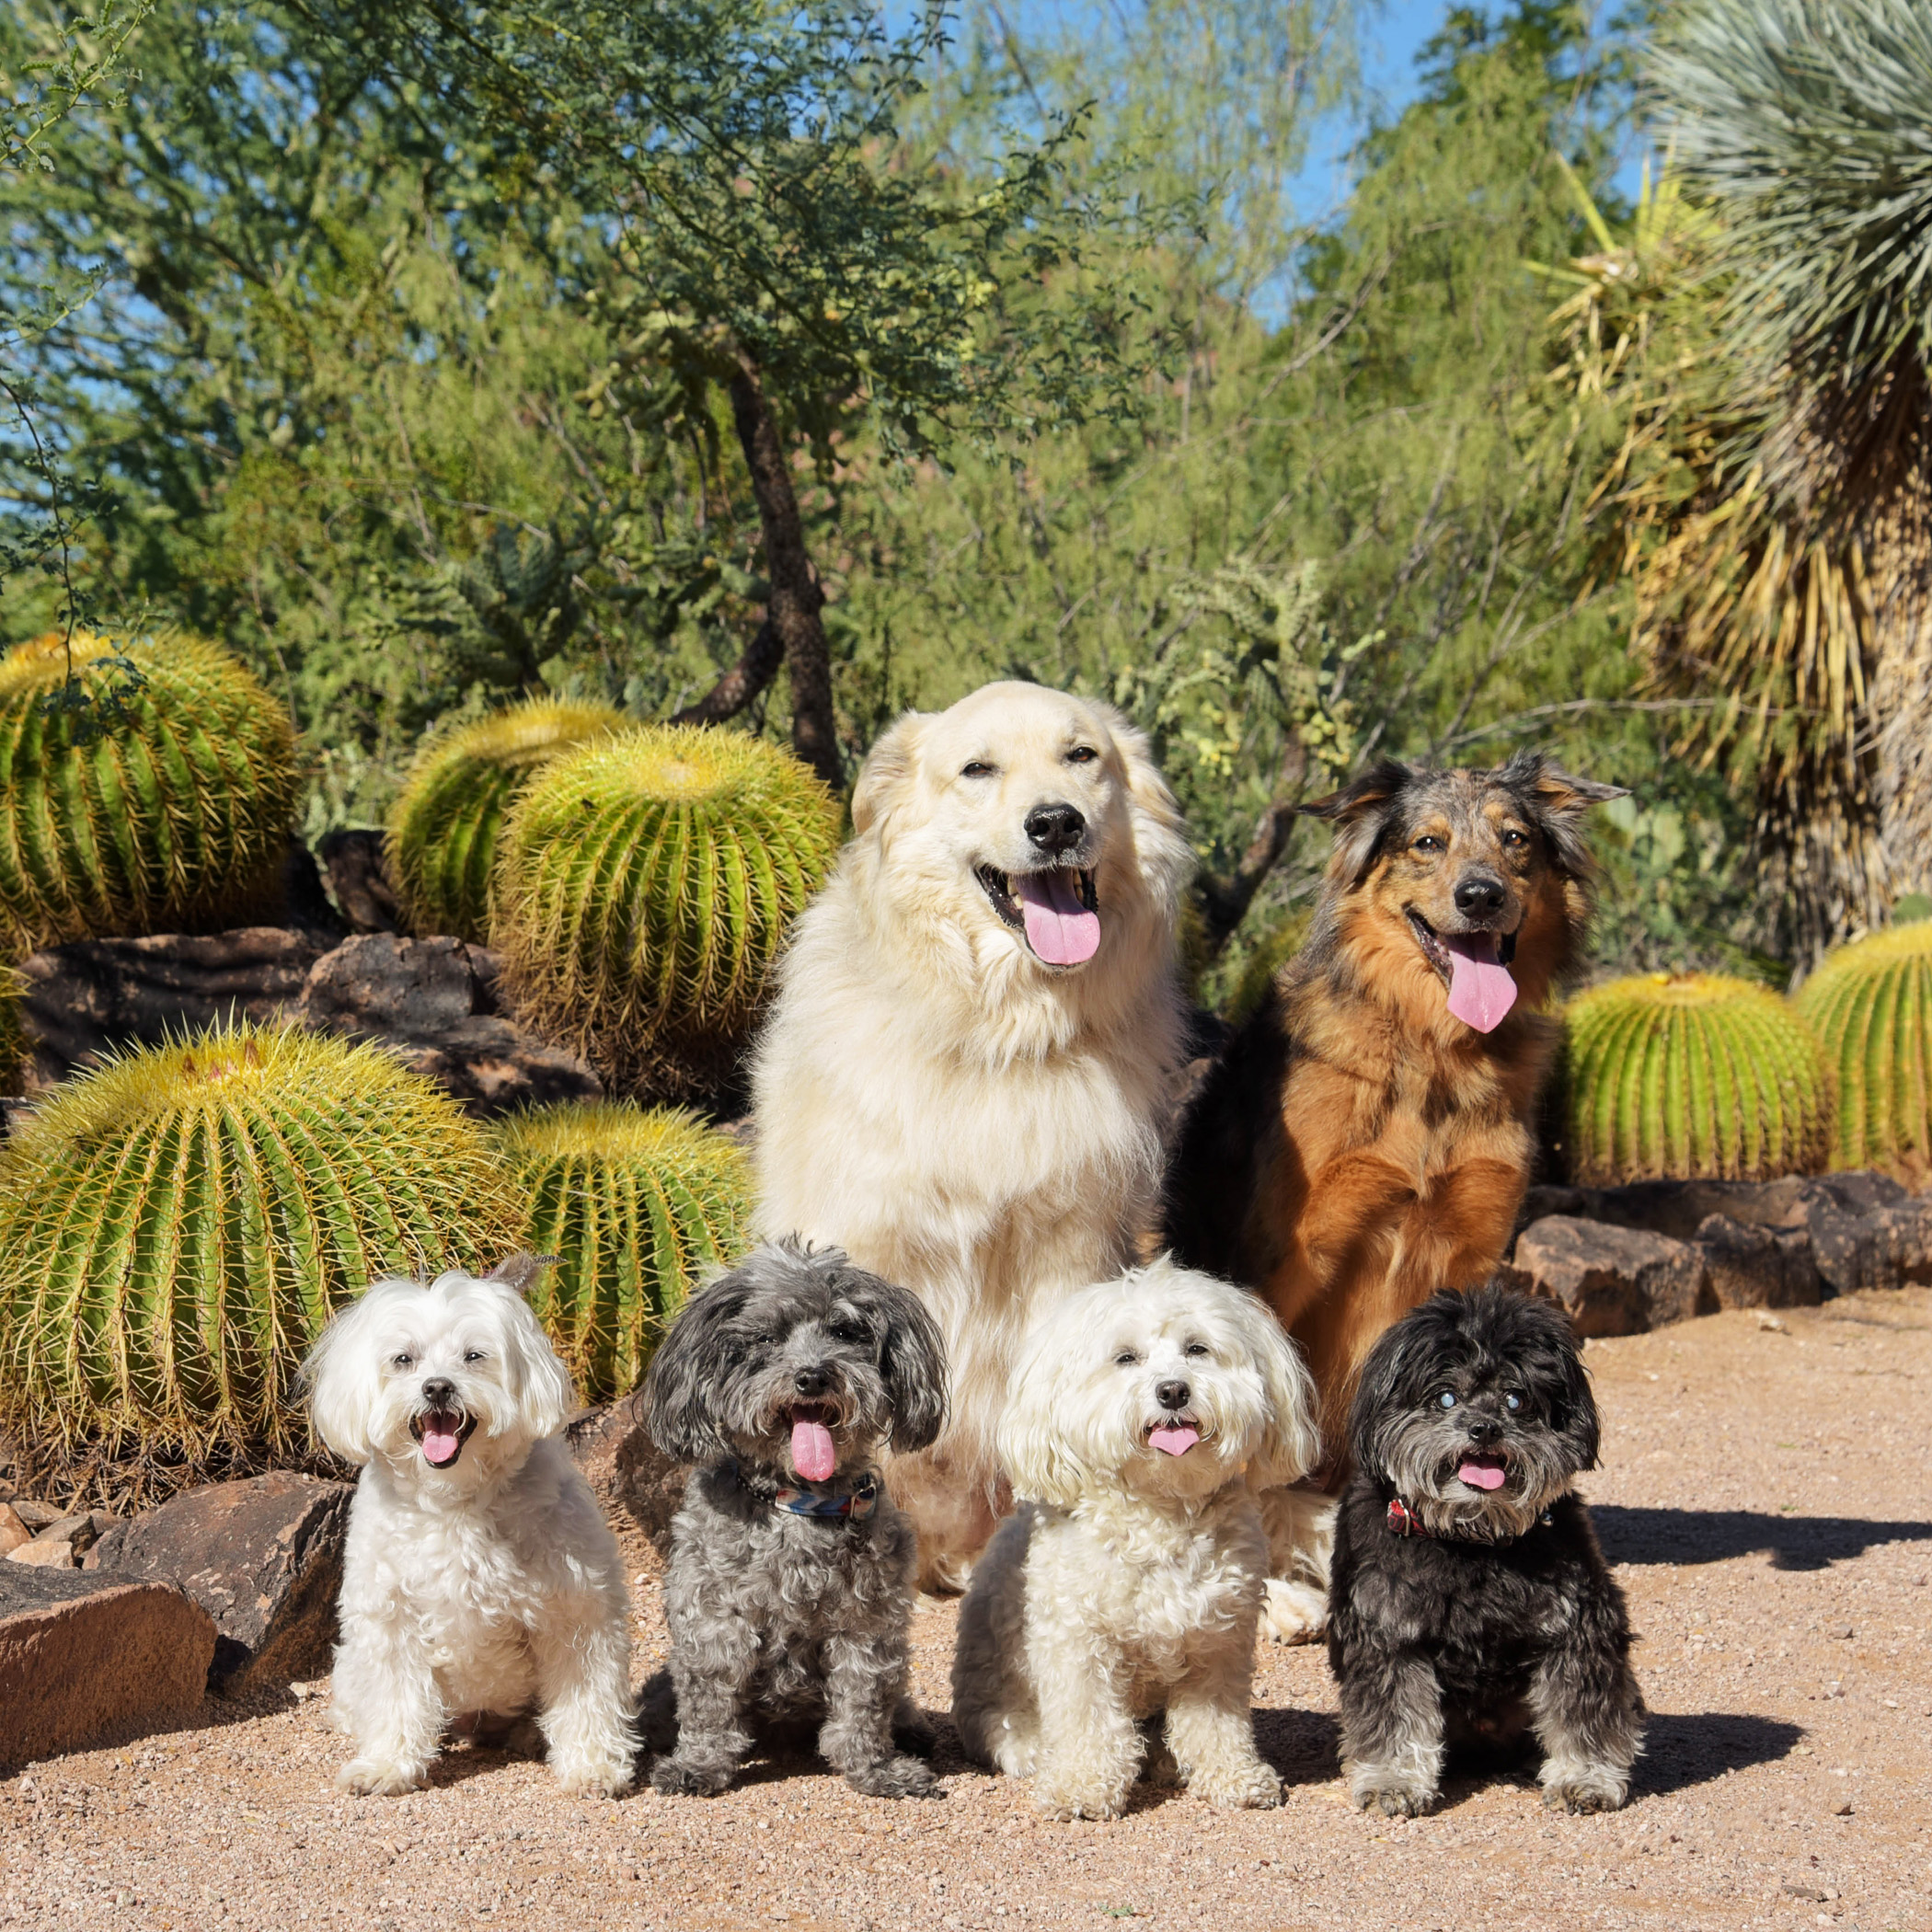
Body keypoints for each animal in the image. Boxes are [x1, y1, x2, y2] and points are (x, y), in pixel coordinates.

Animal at [301, 1251, 633, 1792]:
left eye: (474, 1356)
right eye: (404, 1359)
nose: (437, 1386)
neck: (455, 1499)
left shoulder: (577, 1613)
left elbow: (587, 1697)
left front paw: (593, 1766)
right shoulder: (390, 1617)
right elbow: (395, 1698)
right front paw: (387, 1765)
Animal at [954, 1259, 1321, 1815]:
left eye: (1197, 1349)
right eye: (1125, 1358)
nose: (1173, 1391)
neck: (1160, 1512)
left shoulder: (1219, 1643)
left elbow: (1216, 1722)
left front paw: (1233, 1776)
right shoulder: (1077, 1642)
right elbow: (1087, 1718)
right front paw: (1082, 1784)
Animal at [1167, 745, 1622, 1453]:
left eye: (1515, 839)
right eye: (1427, 843)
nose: (1481, 896)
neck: (1432, 1053)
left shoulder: (1469, 1248)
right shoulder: (1291, 1255)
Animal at [1328, 1290, 1646, 1815]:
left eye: (1516, 1399)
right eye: (1445, 1398)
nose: (1484, 1428)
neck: (1471, 1539)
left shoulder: (1578, 1625)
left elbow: (1582, 1709)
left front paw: (1585, 1778)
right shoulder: (1387, 1635)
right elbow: (1394, 1718)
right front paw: (1394, 1781)